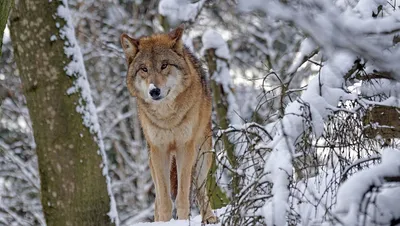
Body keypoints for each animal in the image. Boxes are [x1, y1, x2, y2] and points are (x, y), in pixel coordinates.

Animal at [120, 23, 219, 223]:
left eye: (164, 65)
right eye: (144, 69)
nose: (154, 91)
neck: (167, 118)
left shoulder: (184, 147)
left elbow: (182, 196)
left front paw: (183, 220)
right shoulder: (159, 151)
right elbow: (164, 200)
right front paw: (164, 221)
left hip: (203, 155)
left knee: (200, 189)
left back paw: (209, 218)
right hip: (152, 160)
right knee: (157, 199)